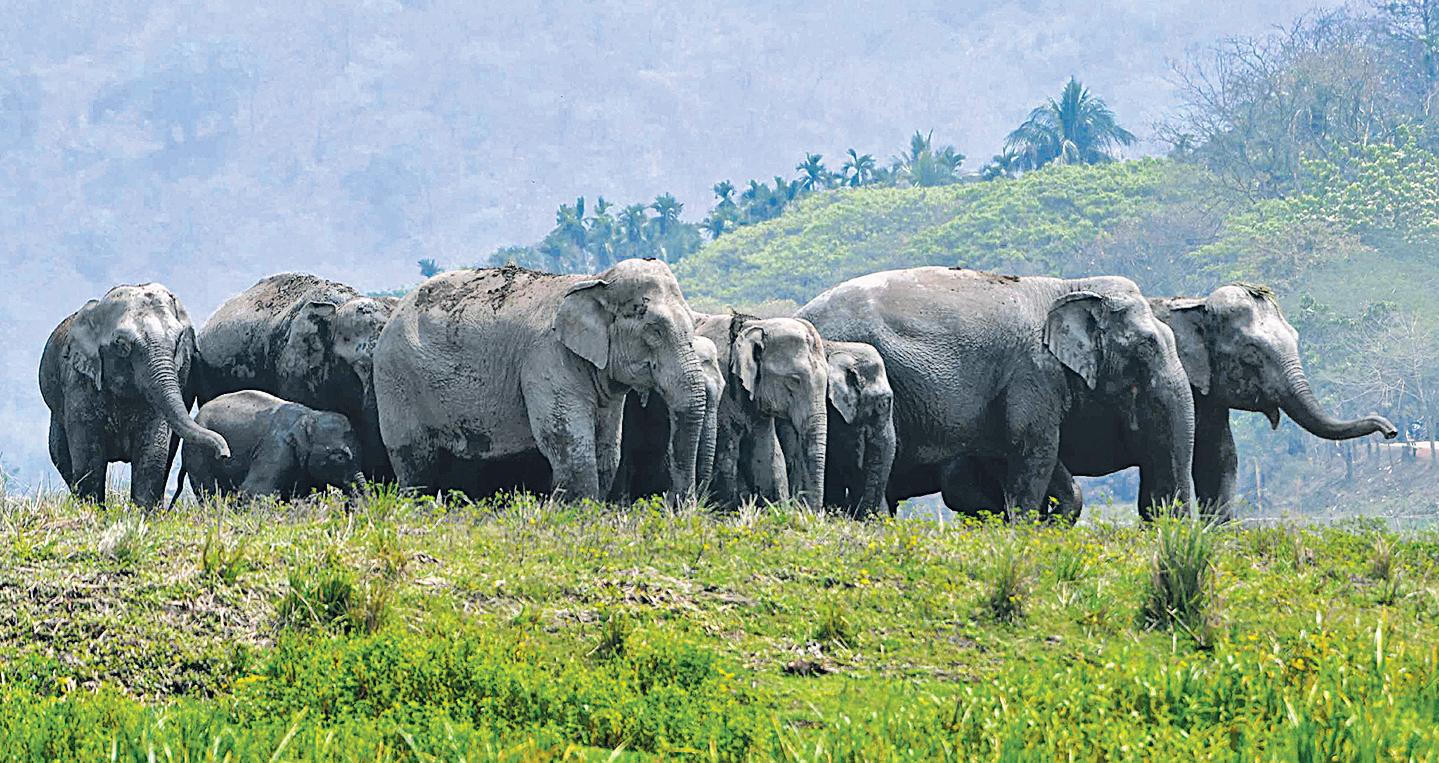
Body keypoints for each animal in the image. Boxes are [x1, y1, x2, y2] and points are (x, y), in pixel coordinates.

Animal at [39, 283, 231, 507]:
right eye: (122, 344)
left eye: (178, 340)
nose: (224, 454)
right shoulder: (79, 385)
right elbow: (89, 459)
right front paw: (94, 511)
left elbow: (152, 455)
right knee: (60, 455)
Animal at [373, 260, 710, 500]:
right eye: (655, 331)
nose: (674, 504)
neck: (595, 281)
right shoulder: (545, 359)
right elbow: (565, 440)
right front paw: (577, 514)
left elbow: (608, 447)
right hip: (397, 380)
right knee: (416, 462)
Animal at [797, 267, 1196, 520]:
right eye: (1146, 347)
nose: (1158, 519)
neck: (1069, 287)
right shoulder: (1033, 374)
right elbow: (1034, 450)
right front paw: (1024, 527)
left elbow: (1017, 452)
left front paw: (1048, 518)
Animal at [940, 283, 1399, 521]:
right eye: (1252, 355)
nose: (1392, 431)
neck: (1191, 305)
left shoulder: (1206, 397)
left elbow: (1219, 456)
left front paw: (1217, 533)